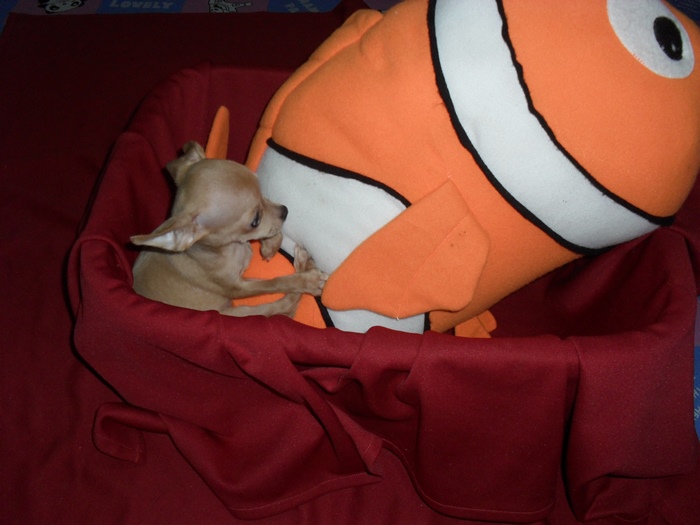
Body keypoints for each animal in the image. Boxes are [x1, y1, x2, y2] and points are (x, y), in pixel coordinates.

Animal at [130, 141, 327, 317]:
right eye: (255, 220)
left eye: (261, 190)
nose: (285, 211)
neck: (229, 248)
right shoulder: (237, 288)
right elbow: (273, 283)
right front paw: (306, 281)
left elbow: (270, 230)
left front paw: (269, 246)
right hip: (236, 312)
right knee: (280, 308)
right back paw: (306, 272)